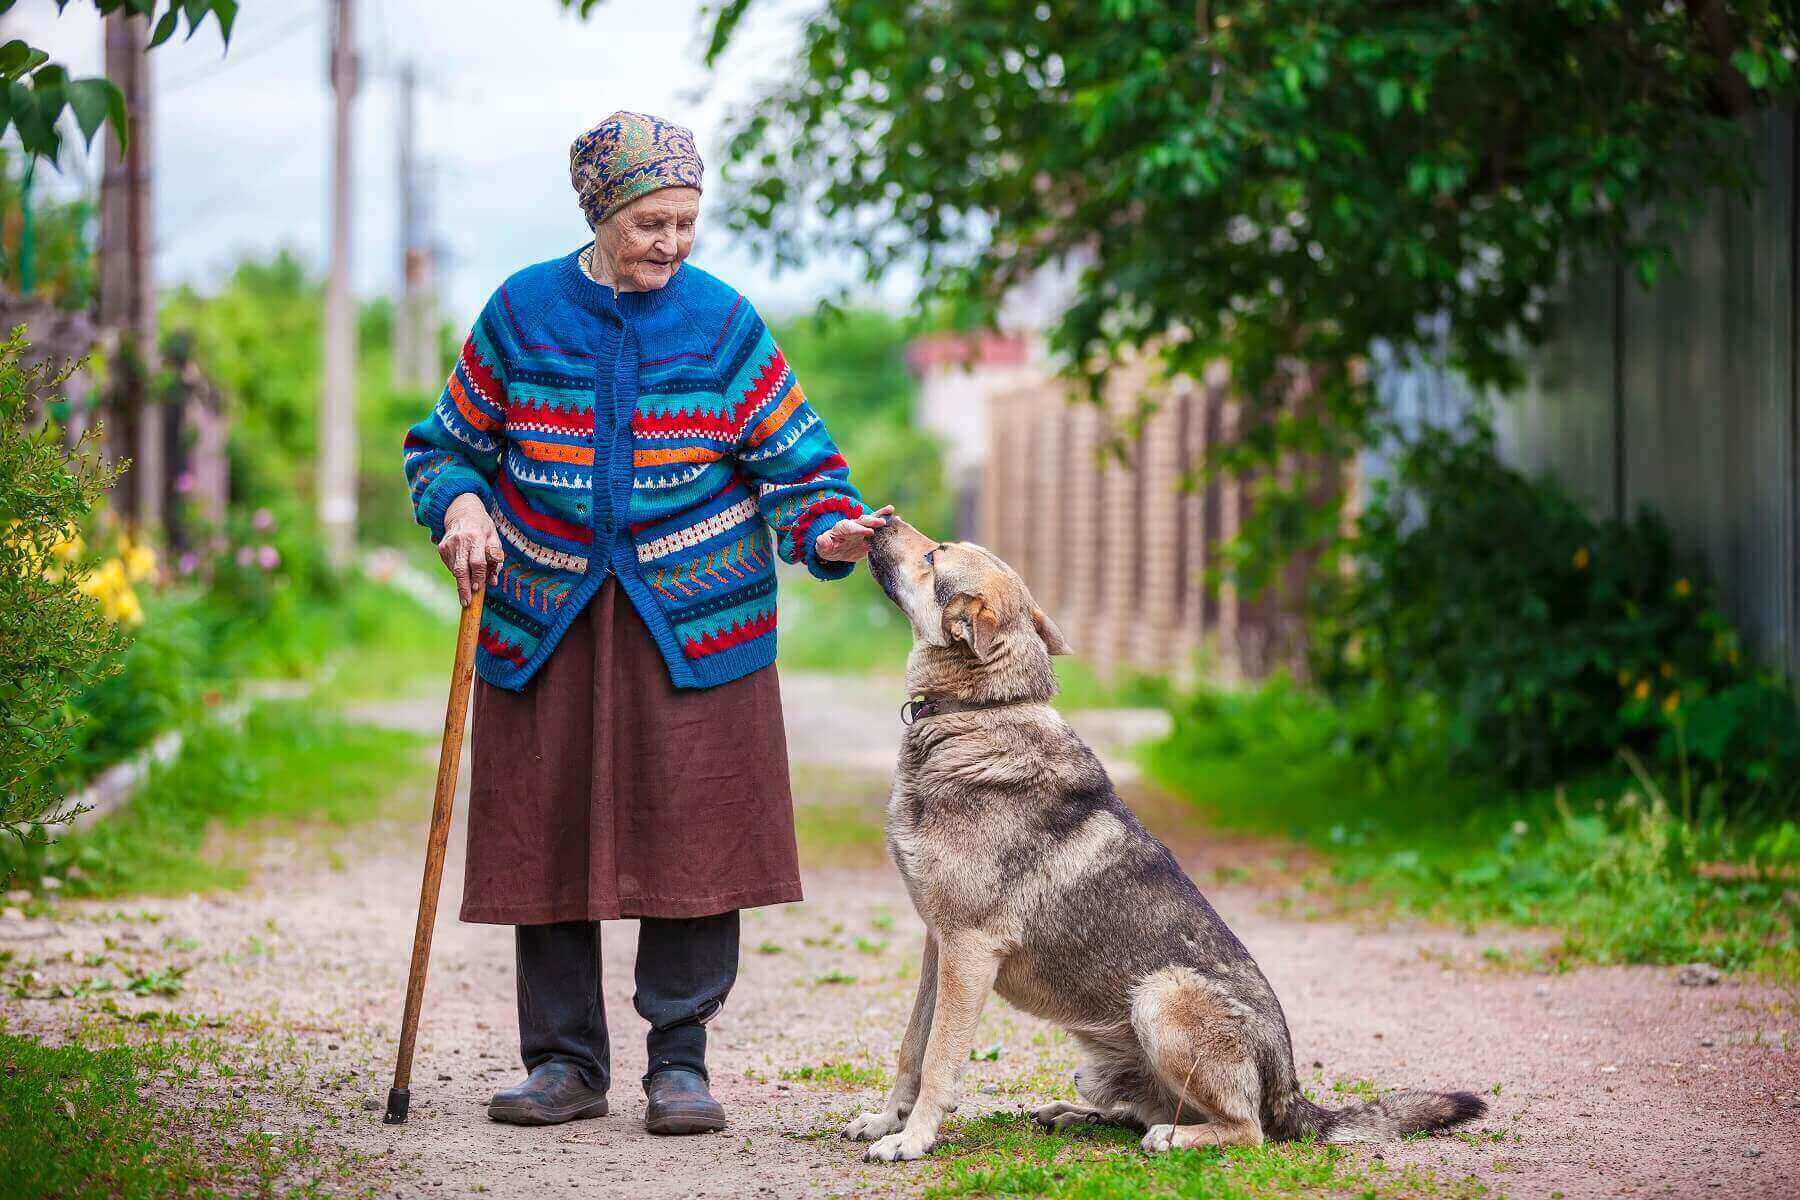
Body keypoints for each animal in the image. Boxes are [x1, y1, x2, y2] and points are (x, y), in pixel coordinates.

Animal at [849, 521, 1483, 1158]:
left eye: (934, 556)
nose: (882, 520)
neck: (977, 711)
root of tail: (1291, 1089)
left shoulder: (969, 950)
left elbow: (939, 1060)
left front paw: (912, 1140)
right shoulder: (939, 946)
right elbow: (911, 1048)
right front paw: (885, 1123)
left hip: (1159, 997)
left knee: (1244, 1131)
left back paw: (1171, 1138)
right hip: (1098, 1063)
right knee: (1137, 1111)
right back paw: (1072, 1116)